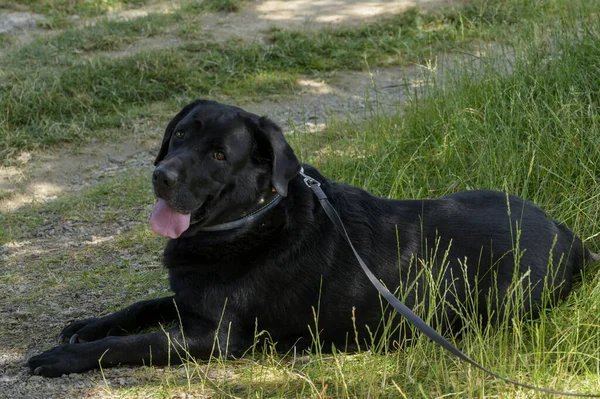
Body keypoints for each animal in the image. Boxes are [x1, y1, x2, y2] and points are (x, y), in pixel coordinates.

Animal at [29, 100, 600, 378]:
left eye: (219, 155)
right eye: (181, 134)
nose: (161, 176)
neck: (253, 219)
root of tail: (571, 238)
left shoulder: (213, 337)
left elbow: (132, 343)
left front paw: (59, 359)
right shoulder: (189, 301)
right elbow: (142, 307)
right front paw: (86, 325)